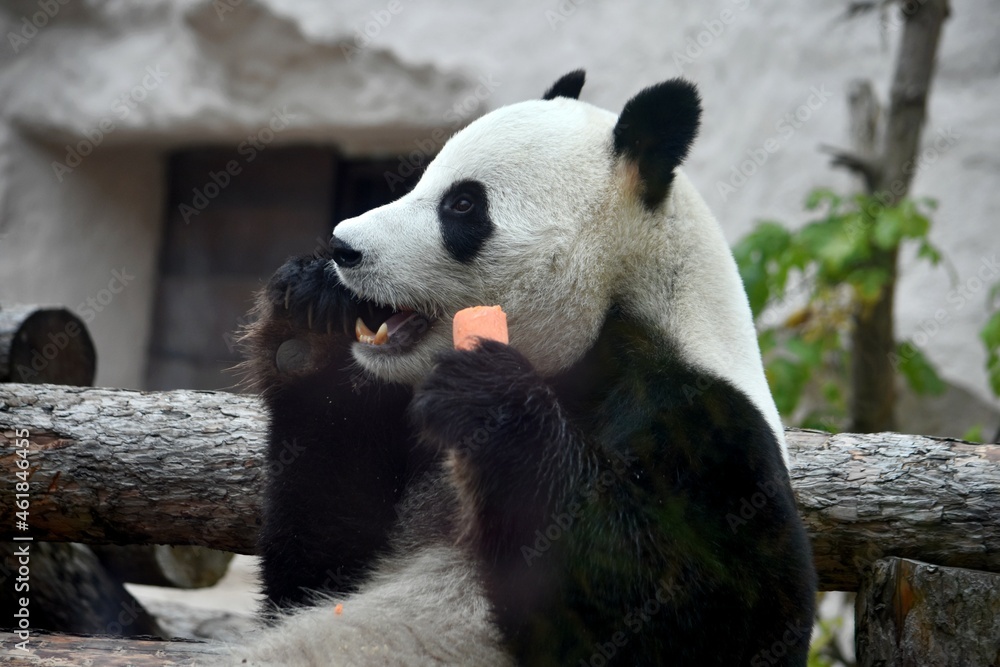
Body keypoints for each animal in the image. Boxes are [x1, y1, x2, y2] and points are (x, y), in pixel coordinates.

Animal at [235, 70, 816, 666]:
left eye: (462, 204)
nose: (343, 246)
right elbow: (315, 571)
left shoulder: (700, 422)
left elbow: (721, 611)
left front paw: (488, 398)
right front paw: (310, 320)